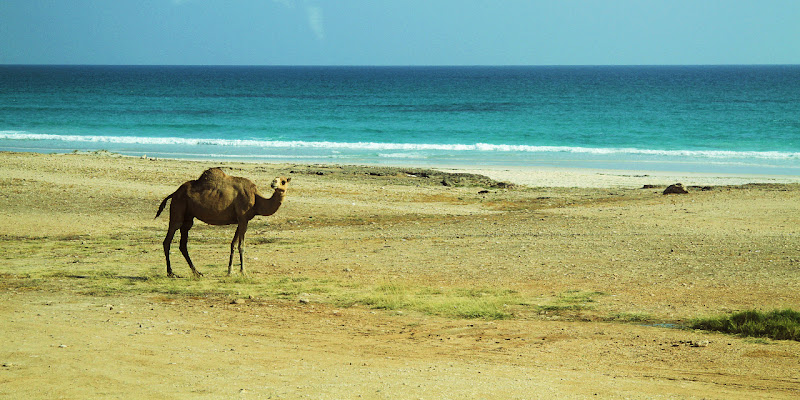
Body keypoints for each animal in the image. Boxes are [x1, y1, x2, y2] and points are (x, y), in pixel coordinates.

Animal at [154, 168, 290, 278]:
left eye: (283, 181)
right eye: (275, 179)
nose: (273, 184)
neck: (256, 198)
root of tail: (174, 193)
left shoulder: (241, 220)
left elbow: (233, 244)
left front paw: (230, 271)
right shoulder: (243, 218)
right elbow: (242, 246)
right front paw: (243, 272)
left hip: (188, 217)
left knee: (183, 244)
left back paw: (197, 272)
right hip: (178, 208)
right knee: (168, 240)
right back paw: (171, 273)